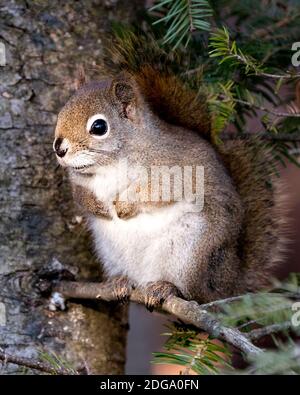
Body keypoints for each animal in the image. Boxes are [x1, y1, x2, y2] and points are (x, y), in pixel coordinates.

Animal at [53, 36, 286, 310]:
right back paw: (119, 283)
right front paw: (98, 206)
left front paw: (124, 205)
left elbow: (158, 191)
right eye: (61, 112)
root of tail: (229, 287)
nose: (59, 148)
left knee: (193, 293)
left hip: (191, 252)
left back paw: (167, 287)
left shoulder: (177, 169)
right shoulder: (78, 181)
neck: (109, 164)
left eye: (99, 127)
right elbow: (80, 196)